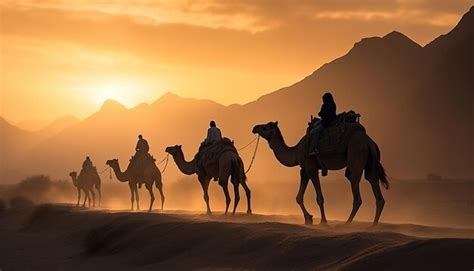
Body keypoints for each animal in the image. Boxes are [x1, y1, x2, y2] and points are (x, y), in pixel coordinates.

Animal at [252, 122, 388, 226]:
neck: (296, 151)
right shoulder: (304, 170)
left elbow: (319, 198)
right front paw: (308, 219)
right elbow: (298, 197)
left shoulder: (311, 168)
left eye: (265, 127)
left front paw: (323, 221)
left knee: (354, 185)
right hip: (370, 161)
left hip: (356, 153)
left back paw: (347, 224)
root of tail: (369, 141)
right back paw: (373, 225)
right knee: (374, 184)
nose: (254, 128)